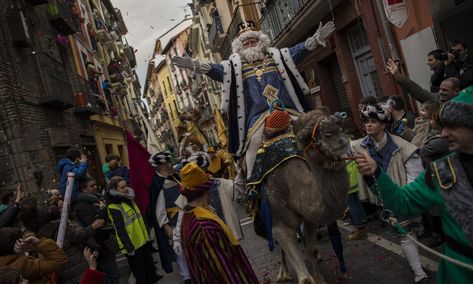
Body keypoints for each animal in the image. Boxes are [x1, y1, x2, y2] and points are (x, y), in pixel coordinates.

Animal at [266, 107, 350, 282]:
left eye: (334, 117)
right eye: (304, 137)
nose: (334, 129)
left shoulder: (310, 219)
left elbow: (312, 250)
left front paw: (319, 279)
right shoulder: (279, 222)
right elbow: (304, 278)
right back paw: (283, 274)